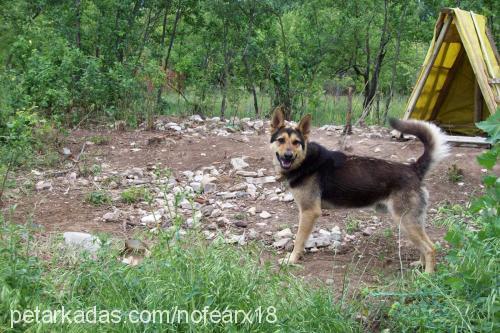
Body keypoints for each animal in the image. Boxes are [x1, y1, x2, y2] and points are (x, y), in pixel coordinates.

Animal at [270, 106, 450, 272]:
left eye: (296, 143)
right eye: (281, 140)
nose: (287, 156)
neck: (305, 161)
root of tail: (413, 168)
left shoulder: (309, 212)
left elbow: (299, 240)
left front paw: (291, 260)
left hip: (405, 221)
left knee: (430, 248)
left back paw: (427, 275)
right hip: (411, 222)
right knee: (424, 245)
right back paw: (420, 265)